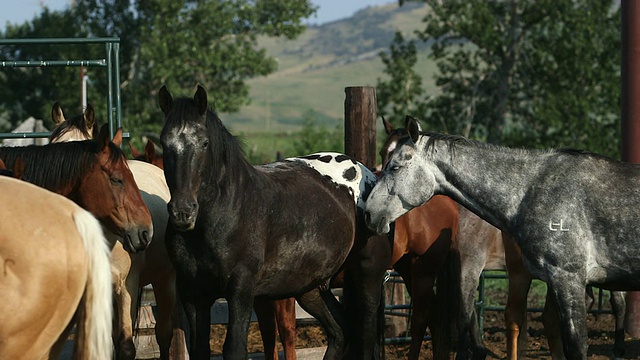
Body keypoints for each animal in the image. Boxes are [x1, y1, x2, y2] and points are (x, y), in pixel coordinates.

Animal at [364, 116, 636, 360]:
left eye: (395, 166)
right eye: (383, 152)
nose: (368, 212)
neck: (528, 191)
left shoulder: (558, 276)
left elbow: (469, 314)